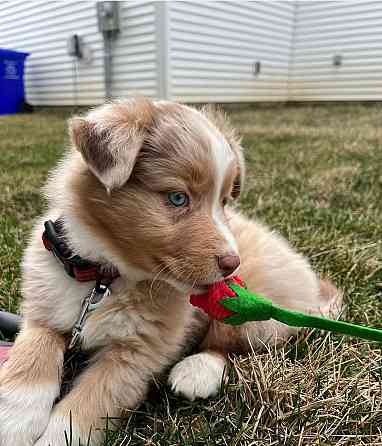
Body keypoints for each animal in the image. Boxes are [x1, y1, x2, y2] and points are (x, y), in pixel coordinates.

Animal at [0, 98, 340, 446]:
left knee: (227, 346)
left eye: (224, 201)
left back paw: (196, 372)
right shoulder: (44, 311)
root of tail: (311, 285)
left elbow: (84, 407)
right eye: (178, 198)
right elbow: (30, 356)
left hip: (250, 306)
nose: (233, 264)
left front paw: (52, 437)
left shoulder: (134, 357)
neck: (105, 278)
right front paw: (14, 420)